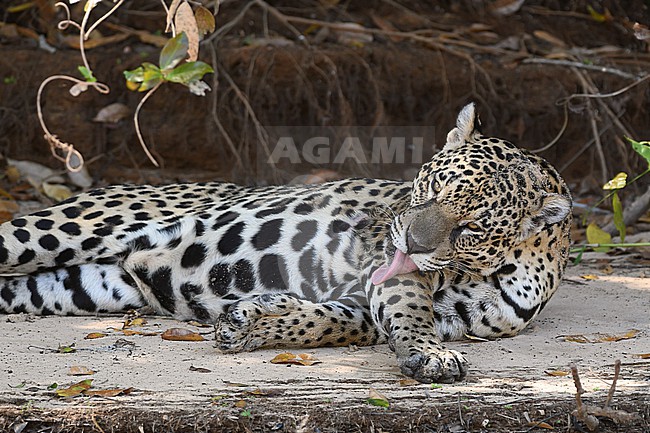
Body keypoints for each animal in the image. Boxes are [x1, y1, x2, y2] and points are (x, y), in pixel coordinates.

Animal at [0, 103, 572, 384]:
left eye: (469, 228)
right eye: (430, 187)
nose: (407, 241)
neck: (487, 269)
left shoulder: (380, 299)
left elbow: (333, 323)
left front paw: (251, 323)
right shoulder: (391, 273)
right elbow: (410, 310)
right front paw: (429, 353)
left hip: (76, 284)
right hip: (72, 228)